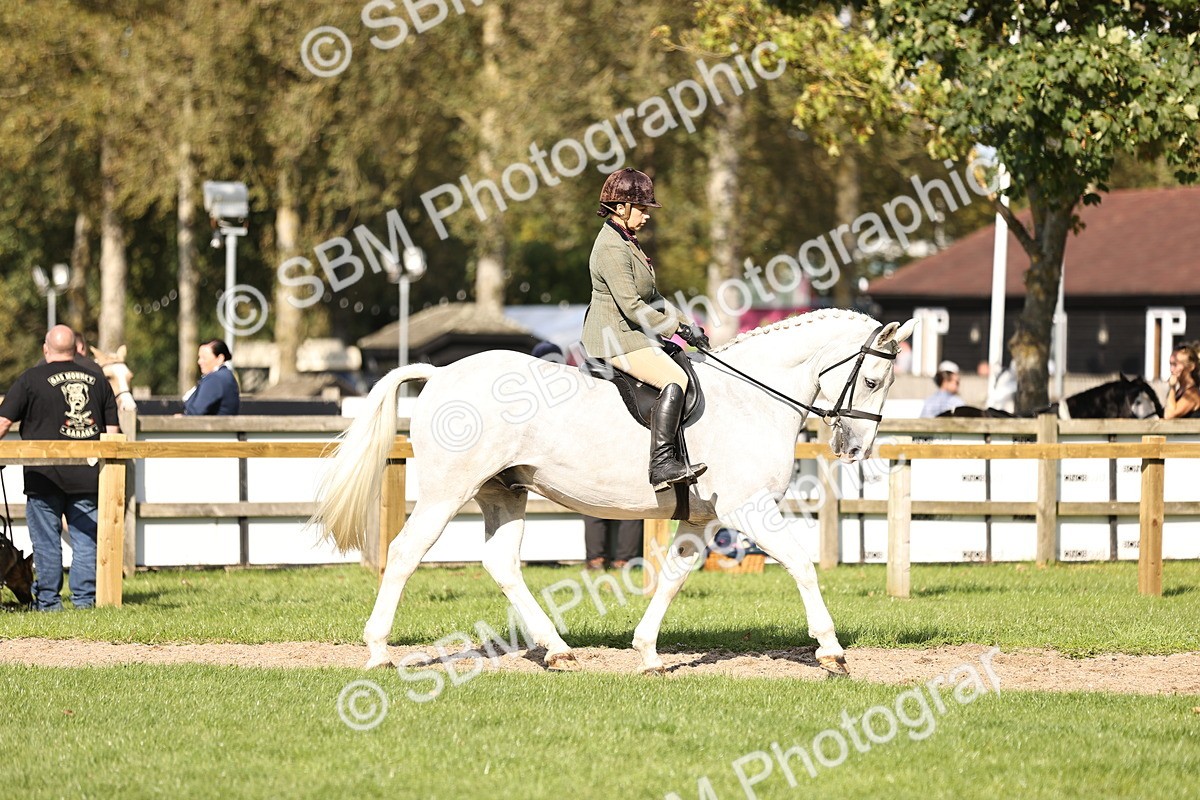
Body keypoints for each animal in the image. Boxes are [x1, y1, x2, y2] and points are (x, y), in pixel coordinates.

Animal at [312, 309, 917, 675]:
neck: (752, 398)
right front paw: (831, 651)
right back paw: (379, 651)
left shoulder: (701, 518)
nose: (855, 449)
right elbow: (802, 565)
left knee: (502, 563)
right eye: (871, 380)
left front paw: (648, 654)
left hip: (504, 492)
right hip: (446, 492)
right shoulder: (749, 509)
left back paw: (557, 651)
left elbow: (673, 576)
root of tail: (440, 374)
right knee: (403, 554)